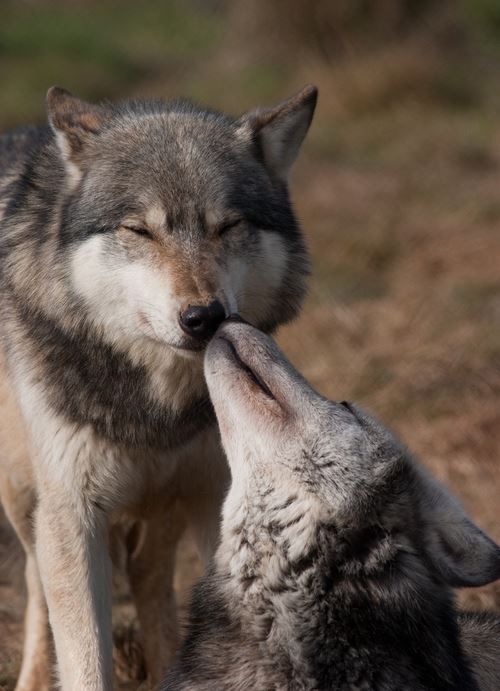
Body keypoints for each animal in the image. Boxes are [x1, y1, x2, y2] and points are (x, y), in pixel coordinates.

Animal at [0, 86, 316, 691]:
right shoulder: (72, 514)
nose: (204, 317)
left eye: (228, 226)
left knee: (149, 574)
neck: (160, 410)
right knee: (34, 582)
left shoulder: (215, 495)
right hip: (25, 499)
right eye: (139, 231)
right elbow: (85, 659)